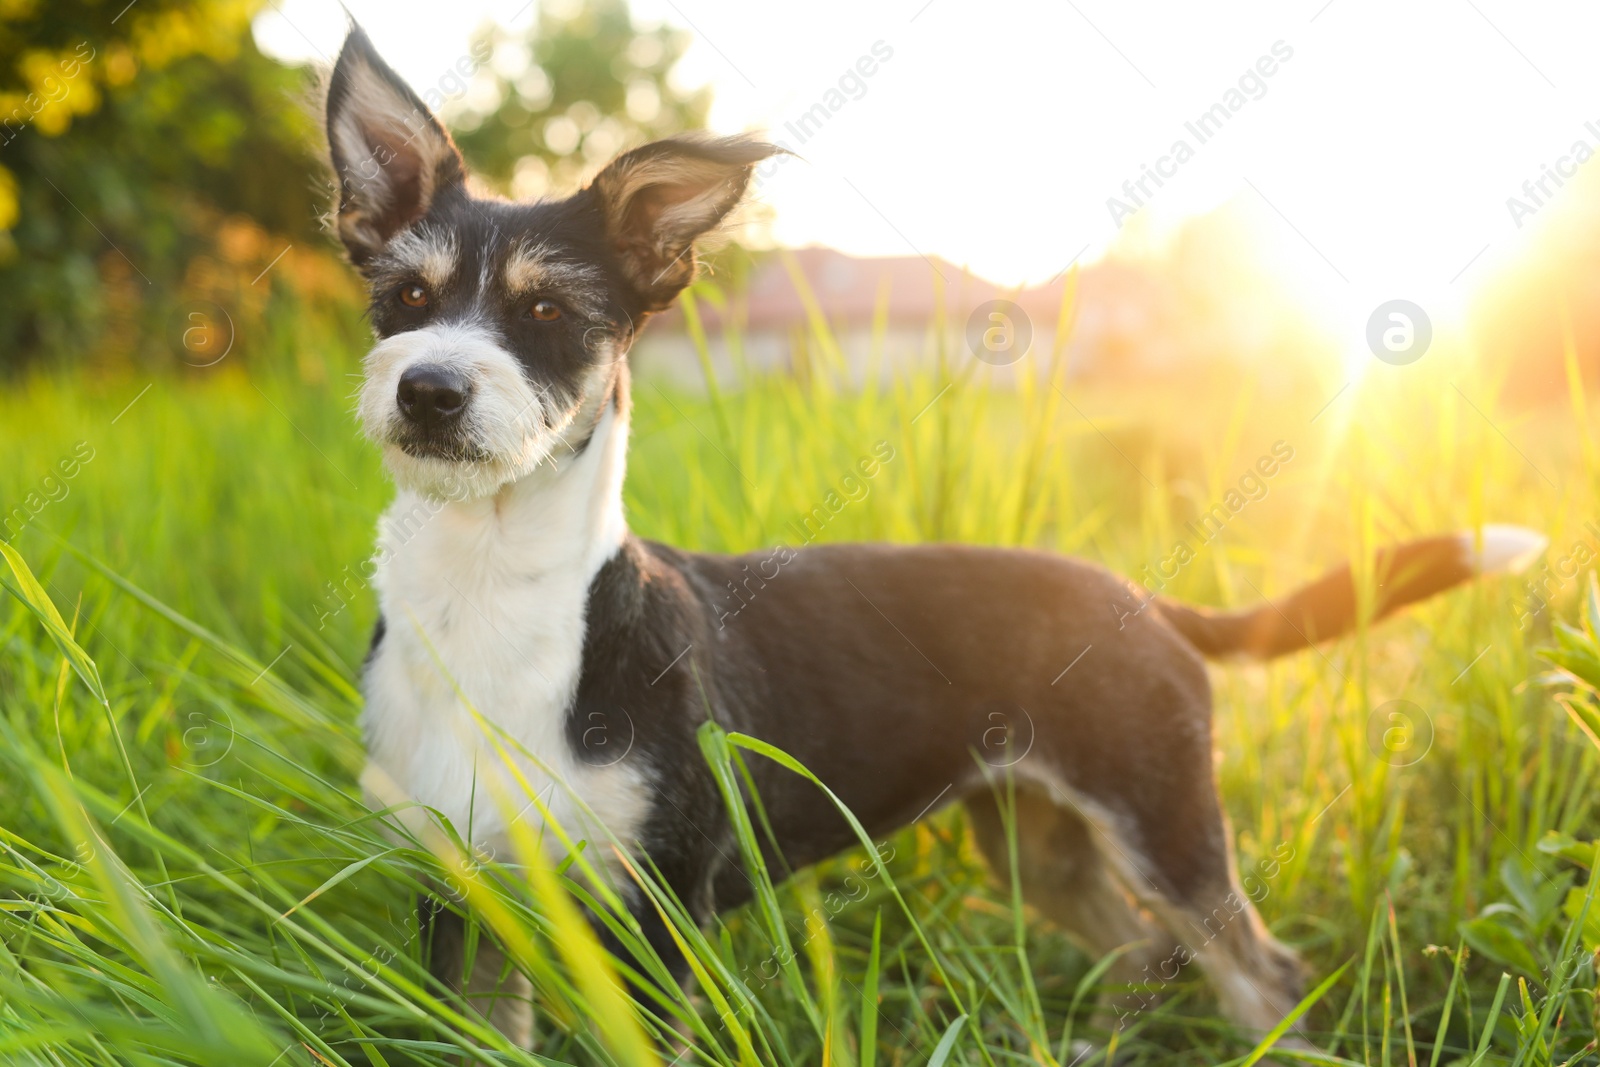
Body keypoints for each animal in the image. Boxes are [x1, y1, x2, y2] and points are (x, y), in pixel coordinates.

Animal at [328, 29, 1548, 1055]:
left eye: (547, 314)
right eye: (404, 297)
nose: (429, 389)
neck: (494, 594)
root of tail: (1145, 598)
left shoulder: (662, 908)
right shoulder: (458, 888)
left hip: (1162, 819)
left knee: (1259, 968)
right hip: (1029, 835)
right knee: (1139, 943)